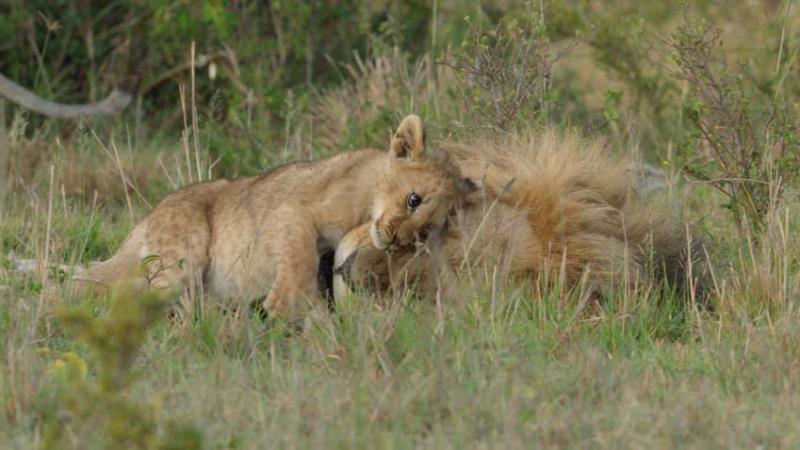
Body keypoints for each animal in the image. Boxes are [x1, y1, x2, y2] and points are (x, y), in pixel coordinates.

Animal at [76, 115, 477, 319]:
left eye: (426, 233)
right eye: (413, 199)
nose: (396, 241)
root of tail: (149, 216)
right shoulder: (293, 210)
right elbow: (299, 258)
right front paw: (282, 305)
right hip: (180, 258)